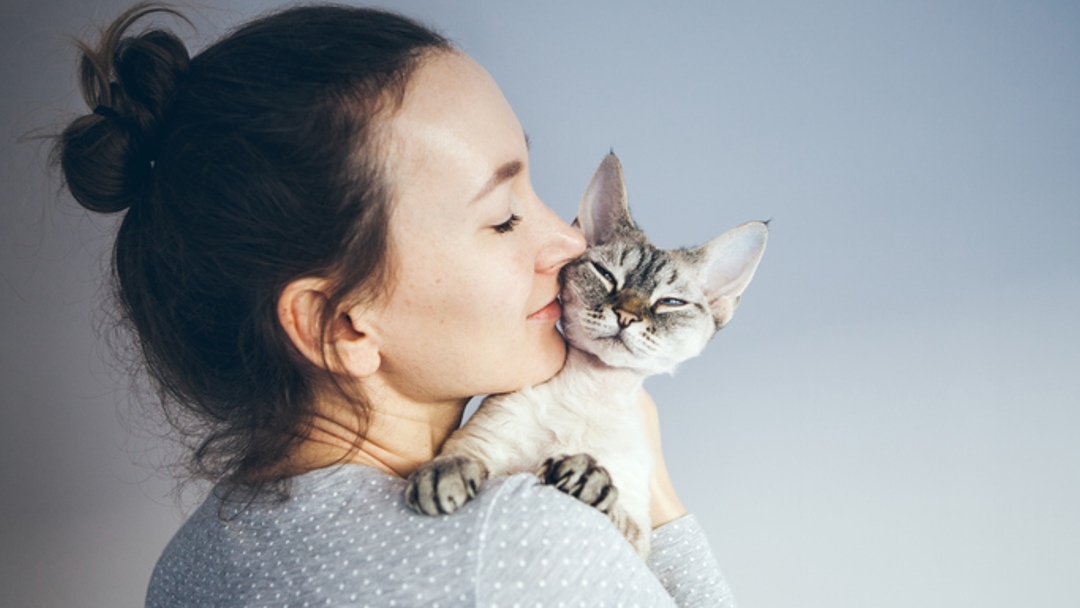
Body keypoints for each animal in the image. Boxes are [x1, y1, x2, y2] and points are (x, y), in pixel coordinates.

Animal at [406, 152, 768, 557]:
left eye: (669, 303)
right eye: (606, 275)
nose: (626, 316)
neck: (591, 391)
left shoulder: (637, 538)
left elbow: (615, 507)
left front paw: (585, 476)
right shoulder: (482, 442)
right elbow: (462, 457)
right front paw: (443, 477)